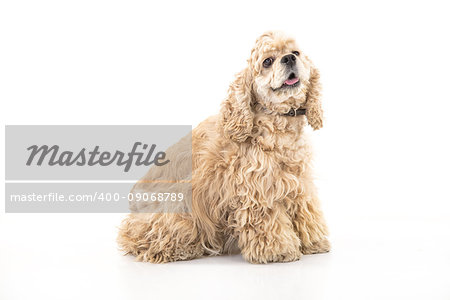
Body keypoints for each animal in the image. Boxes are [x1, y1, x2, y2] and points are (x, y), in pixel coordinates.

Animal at [118, 31, 330, 264]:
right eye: (267, 61)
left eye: (296, 52)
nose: (289, 59)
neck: (278, 126)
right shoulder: (258, 189)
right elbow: (268, 221)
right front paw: (278, 251)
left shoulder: (299, 182)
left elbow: (306, 212)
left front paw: (314, 242)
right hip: (177, 211)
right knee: (136, 235)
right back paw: (181, 249)